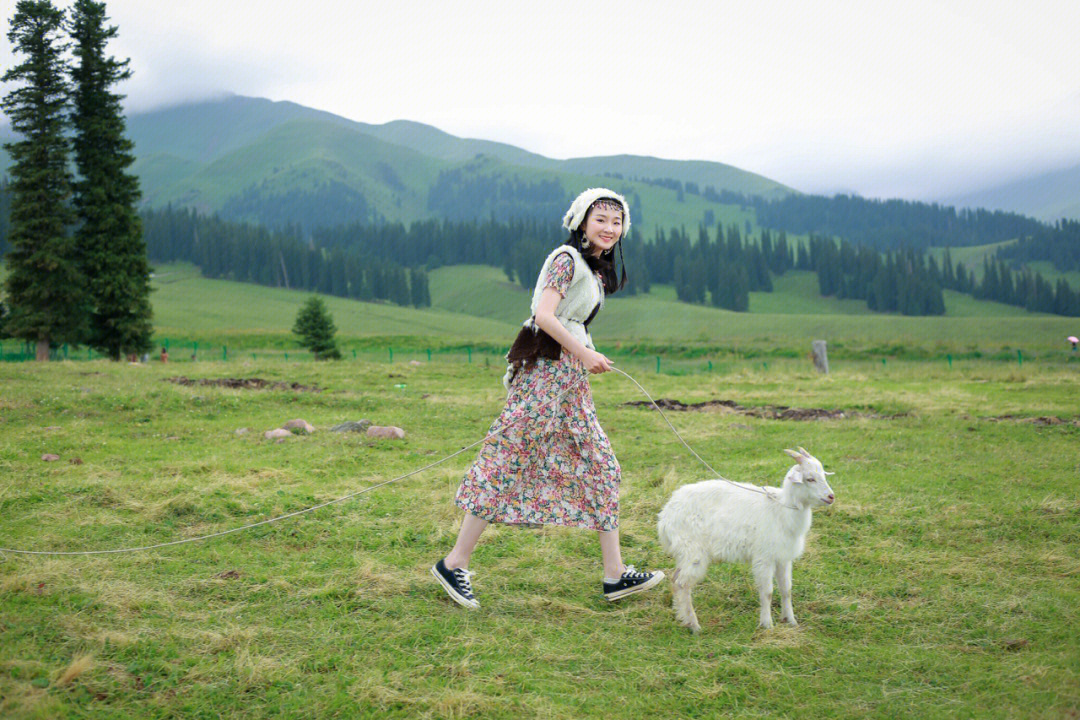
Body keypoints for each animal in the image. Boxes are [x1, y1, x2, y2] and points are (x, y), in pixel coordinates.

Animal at [652, 444, 838, 630]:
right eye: (809, 479)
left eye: (823, 475)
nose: (831, 497)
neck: (781, 508)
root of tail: (665, 516)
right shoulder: (764, 558)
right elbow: (767, 592)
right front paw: (767, 624)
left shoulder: (783, 557)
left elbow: (787, 590)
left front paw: (790, 620)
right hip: (693, 551)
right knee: (682, 583)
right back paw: (694, 625)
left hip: (684, 553)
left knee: (675, 579)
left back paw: (682, 617)